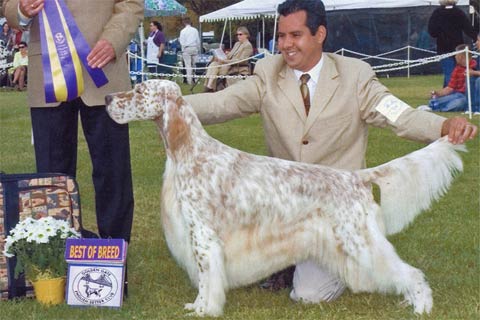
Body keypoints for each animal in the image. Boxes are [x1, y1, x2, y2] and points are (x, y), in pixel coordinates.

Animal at [105, 80, 464, 318]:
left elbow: (207, 278)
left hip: (361, 241)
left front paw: (205, 309)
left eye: (138, 92)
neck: (190, 152)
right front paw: (197, 305)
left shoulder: (203, 236)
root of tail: (356, 177)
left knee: (411, 273)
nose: (107, 96)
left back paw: (422, 306)